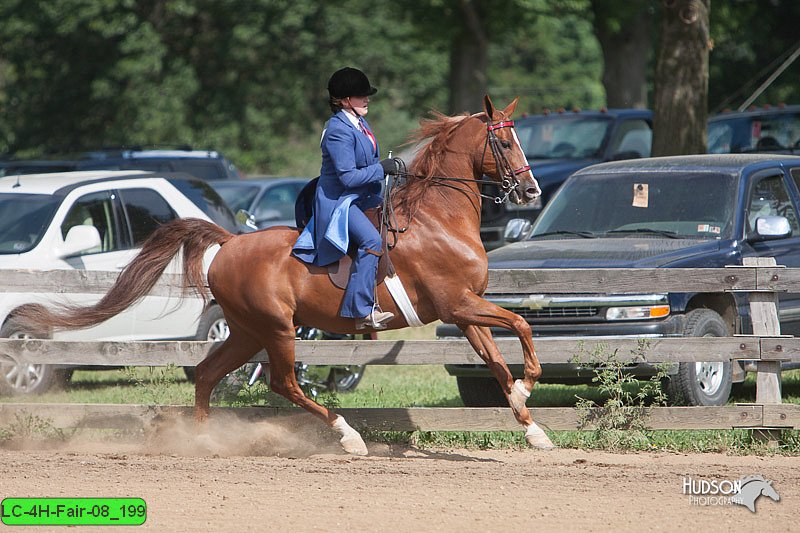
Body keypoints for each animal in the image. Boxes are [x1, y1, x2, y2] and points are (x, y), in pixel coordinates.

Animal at [20, 95, 556, 454]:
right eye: (503, 140)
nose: (531, 191)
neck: (439, 220)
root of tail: (230, 241)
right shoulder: (456, 303)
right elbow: (521, 326)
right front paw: (529, 385)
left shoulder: (465, 311)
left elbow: (497, 360)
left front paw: (531, 424)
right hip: (277, 328)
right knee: (284, 384)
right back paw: (348, 436)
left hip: (247, 330)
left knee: (210, 374)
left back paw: (201, 441)